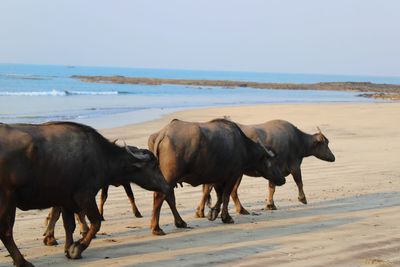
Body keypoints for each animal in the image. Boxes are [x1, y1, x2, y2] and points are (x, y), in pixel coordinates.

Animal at [0, 122, 169, 266]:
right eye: (154, 165)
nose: (167, 186)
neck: (100, 156)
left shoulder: (66, 200)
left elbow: (69, 226)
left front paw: (68, 248)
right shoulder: (84, 196)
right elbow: (96, 222)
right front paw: (77, 248)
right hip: (7, 200)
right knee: (6, 232)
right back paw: (22, 261)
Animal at [148, 118, 284, 236]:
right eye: (274, 162)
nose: (283, 179)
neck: (243, 146)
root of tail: (163, 134)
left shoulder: (218, 178)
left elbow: (219, 196)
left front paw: (212, 213)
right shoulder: (232, 176)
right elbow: (226, 196)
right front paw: (226, 217)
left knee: (169, 198)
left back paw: (180, 222)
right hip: (170, 177)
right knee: (160, 196)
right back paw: (156, 228)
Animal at [195, 119, 336, 218]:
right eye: (326, 144)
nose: (333, 157)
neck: (297, 141)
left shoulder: (274, 172)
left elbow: (271, 188)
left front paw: (270, 205)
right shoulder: (294, 166)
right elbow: (299, 182)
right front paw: (302, 199)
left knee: (222, 190)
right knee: (219, 189)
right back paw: (202, 211)